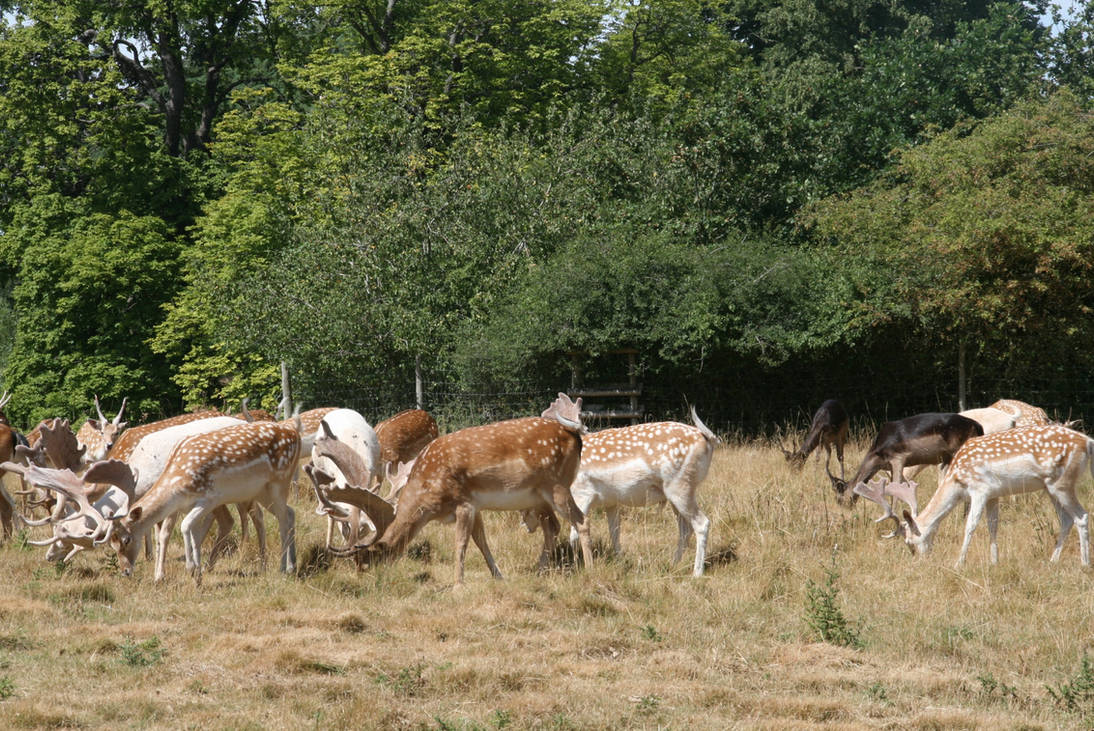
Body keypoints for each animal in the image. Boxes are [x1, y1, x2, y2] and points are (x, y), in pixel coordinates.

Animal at [106, 416, 301, 585]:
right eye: (111, 543)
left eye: (126, 540)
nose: (125, 571)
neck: (177, 482)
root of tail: (295, 434)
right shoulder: (190, 505)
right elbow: (194, 532)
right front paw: (198, 575)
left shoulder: (209, 498)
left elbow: (185, 526)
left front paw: (191, 569)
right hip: (262, 492)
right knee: (290, 512)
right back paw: (292, 565)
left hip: (280, 481)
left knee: (282, 519)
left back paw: (284, 568)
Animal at [320, 393, 591, 585]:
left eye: (367, 560)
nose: (365, 582)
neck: (430, 498)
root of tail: (575, 436)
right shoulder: (476, 506)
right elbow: (481, 542)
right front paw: (498, 575)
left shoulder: (464, 502)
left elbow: (461, 544)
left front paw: (457, 584)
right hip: (538, 497)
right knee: (553, 527)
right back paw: (540, 570)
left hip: (557, 484)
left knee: (581, 519)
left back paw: (589, 571)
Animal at [830, 412, 984, 515]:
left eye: (839, 498)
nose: (843, 514)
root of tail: (976, 425)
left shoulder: (898, 459)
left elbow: (895, 489)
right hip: (947, 460)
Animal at [872, 425, 1094, 567]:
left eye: (909, 542)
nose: (919, 561)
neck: (957, 480)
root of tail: (1088, 442)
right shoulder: (994, 495)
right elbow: (992, 525)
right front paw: (994, 561)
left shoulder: (980, 489)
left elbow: (970, 525)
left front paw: (959, 563)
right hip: (1050, 488)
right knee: (1066, 519)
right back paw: (1052, 561)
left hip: (1062, 483)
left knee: (1081, 516)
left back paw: (1084, 564)